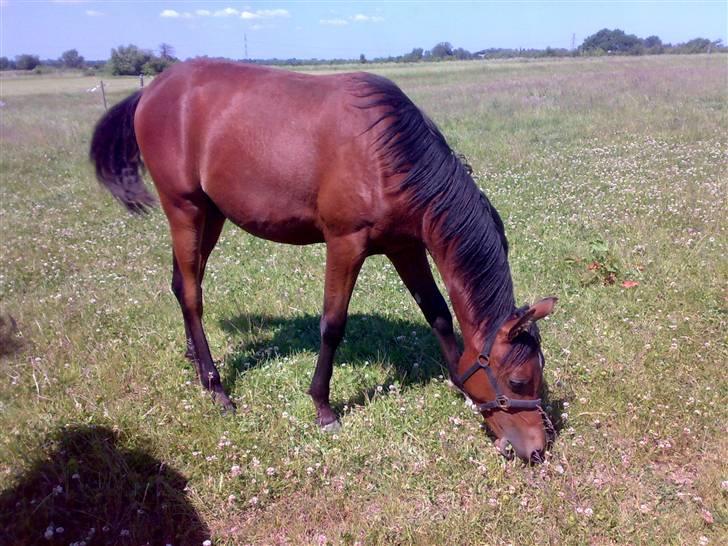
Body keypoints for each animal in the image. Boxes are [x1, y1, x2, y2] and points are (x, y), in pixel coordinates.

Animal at [89, 59, 556, 460]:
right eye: (517, 379)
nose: (537, 449)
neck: (387, 155)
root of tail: (151, 91)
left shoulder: (405, 247)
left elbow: (438, 314)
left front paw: (459, 382)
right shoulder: (345, 244)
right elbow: (332, 324)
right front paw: (323, 407)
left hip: (210, 213)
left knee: (184, 283)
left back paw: (195, 361)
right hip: (183, 208)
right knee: (191, 292)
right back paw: (217, 388)